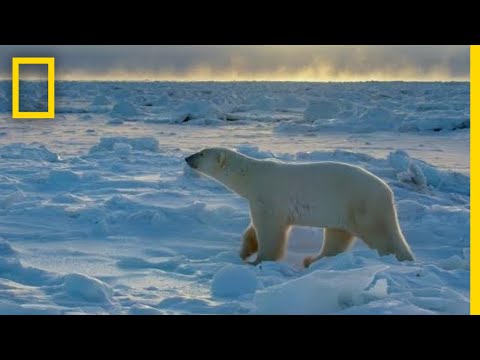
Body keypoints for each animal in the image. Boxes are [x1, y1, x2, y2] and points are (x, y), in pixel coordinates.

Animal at [186, 147, 414, 268]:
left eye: (202, 153)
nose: (187, 158)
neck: (252, 176)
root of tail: (388, 191)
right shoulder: (259, 201)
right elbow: (252, 230)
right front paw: (244, 252)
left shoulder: (269, 197)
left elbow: (269, 230)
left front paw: (258, 261)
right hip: (341, 210)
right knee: (337, 236)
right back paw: (312, 260)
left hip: (362, 204)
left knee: (381, 235)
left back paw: (403, 260)